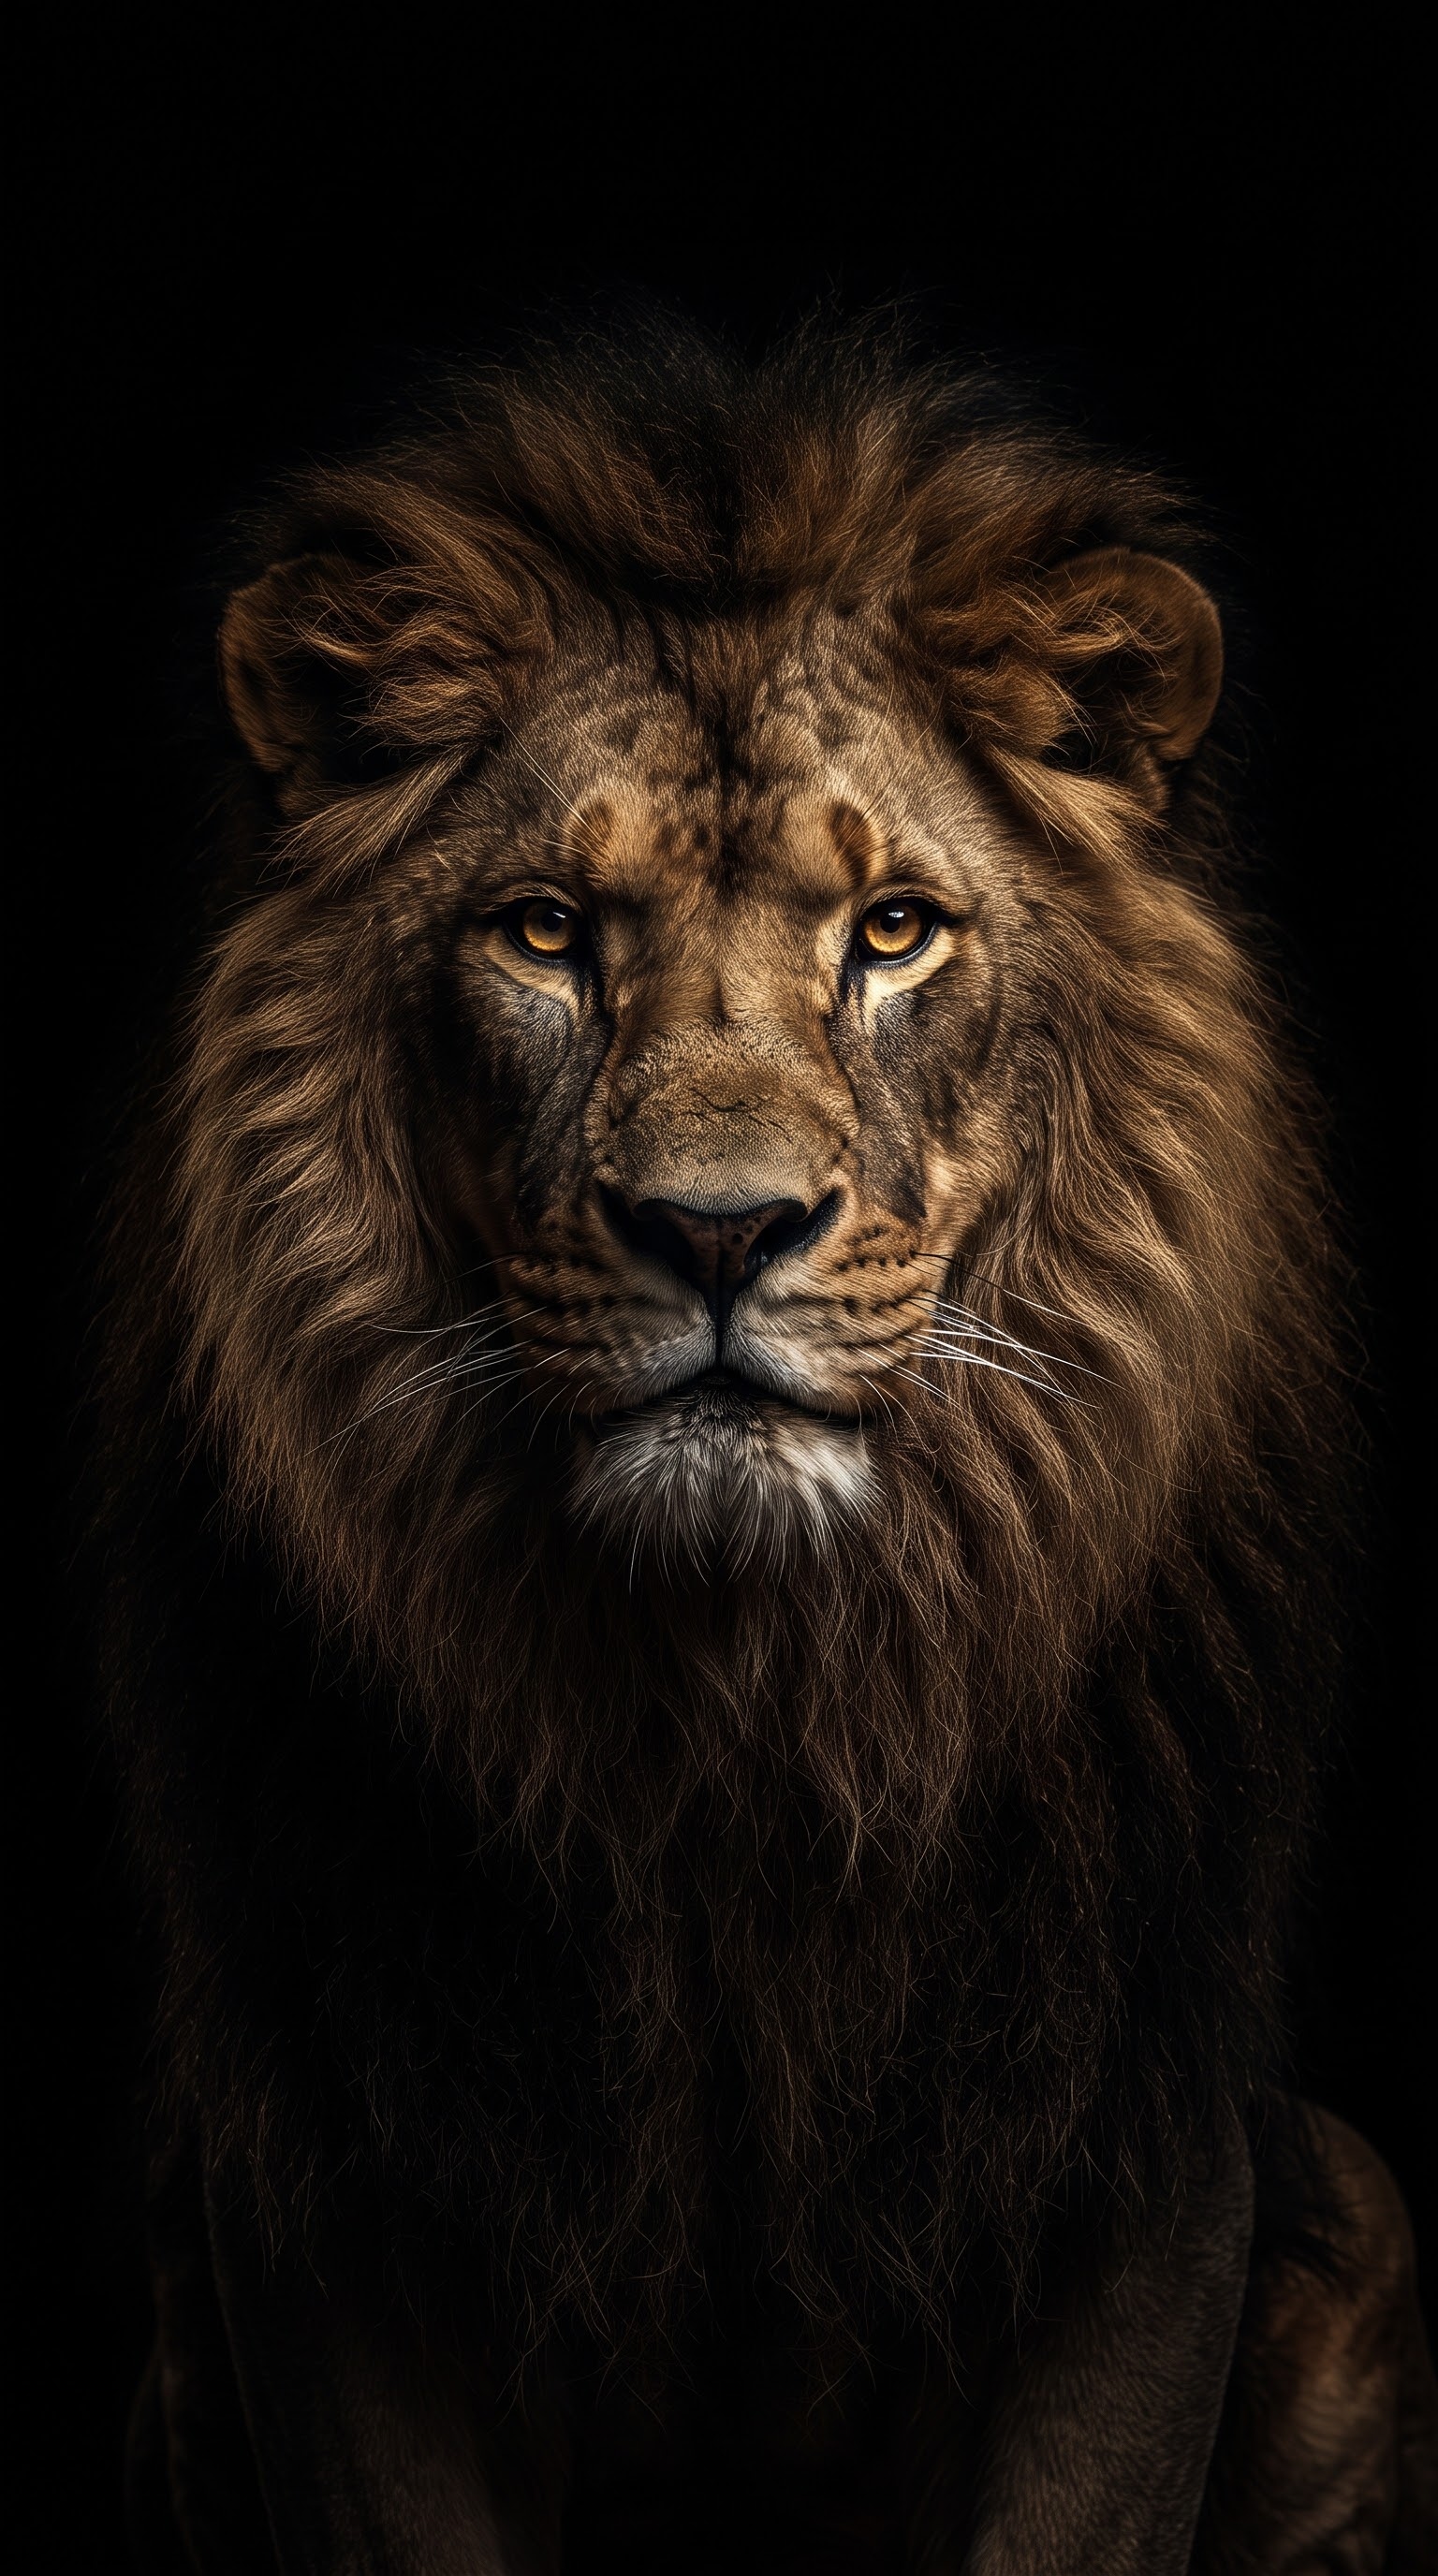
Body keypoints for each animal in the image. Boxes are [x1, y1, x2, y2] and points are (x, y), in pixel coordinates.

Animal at [99, 321, 1436, 2573]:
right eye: (546, 930)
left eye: (891, 929)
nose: (718, 1232)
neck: (743, 1718)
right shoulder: (331, 2168)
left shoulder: (1134, 2139)